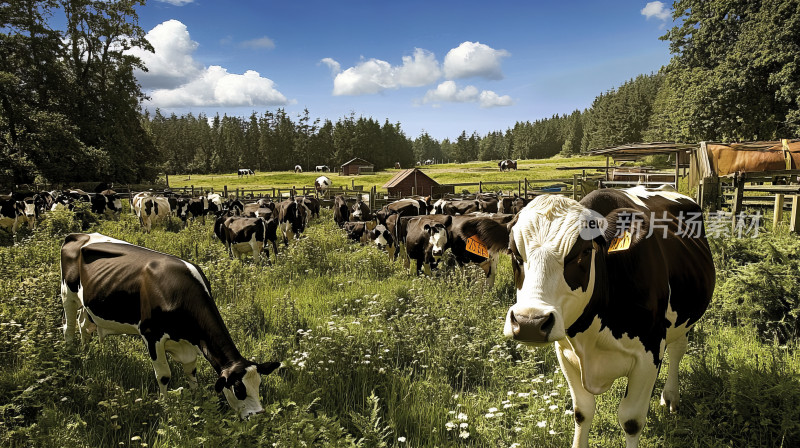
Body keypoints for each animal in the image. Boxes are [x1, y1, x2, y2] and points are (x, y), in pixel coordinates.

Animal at [59, 233, 280, 418]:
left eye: (258, 384)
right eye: (239, 389)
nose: (259, 414)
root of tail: (77, 235)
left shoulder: (189, 344)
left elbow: (191, 373)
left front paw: (197, 400)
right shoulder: (151, 335)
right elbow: (164, 376)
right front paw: (166, 408)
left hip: (89, 304)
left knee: (83, 325)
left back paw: (86, 353)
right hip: (67, 293)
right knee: (69, 327)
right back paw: (70, 357)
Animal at [504, 186, 716, 448]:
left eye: (584, 252)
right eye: (513, 252)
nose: (529, 323)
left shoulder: (649, 353)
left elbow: (631, 420)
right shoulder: (564, 352)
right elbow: (582, 412)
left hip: (686, 317)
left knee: (677, 350)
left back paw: (670, 396)